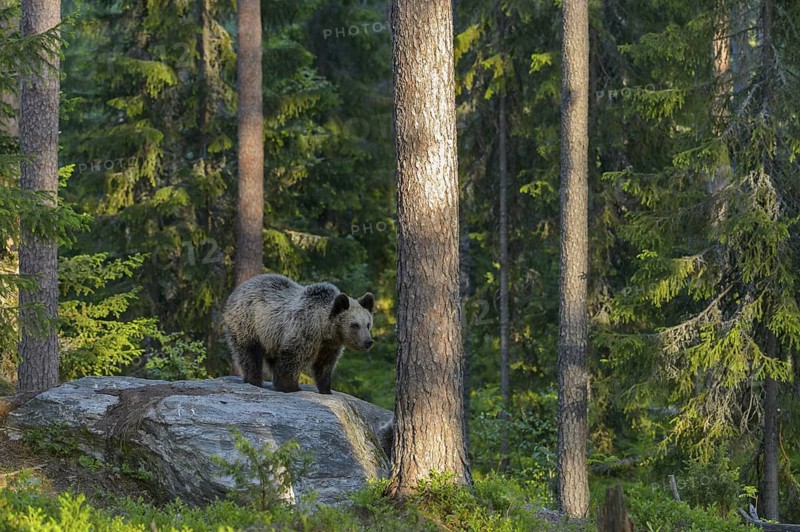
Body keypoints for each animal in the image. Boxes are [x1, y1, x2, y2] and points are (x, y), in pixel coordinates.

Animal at [223, 273, 375, 394]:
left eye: (368, 324)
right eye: (355, 325)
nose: (368, 342)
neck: (324, 329)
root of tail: (238, 289)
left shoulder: (329, 345)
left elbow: (324, 365)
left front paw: (326, 389)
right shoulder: (304, 331)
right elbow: (292, 357)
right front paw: (290, 387)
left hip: (271, 337)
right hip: (249, 323)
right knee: (249, 353)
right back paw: (254, 380)